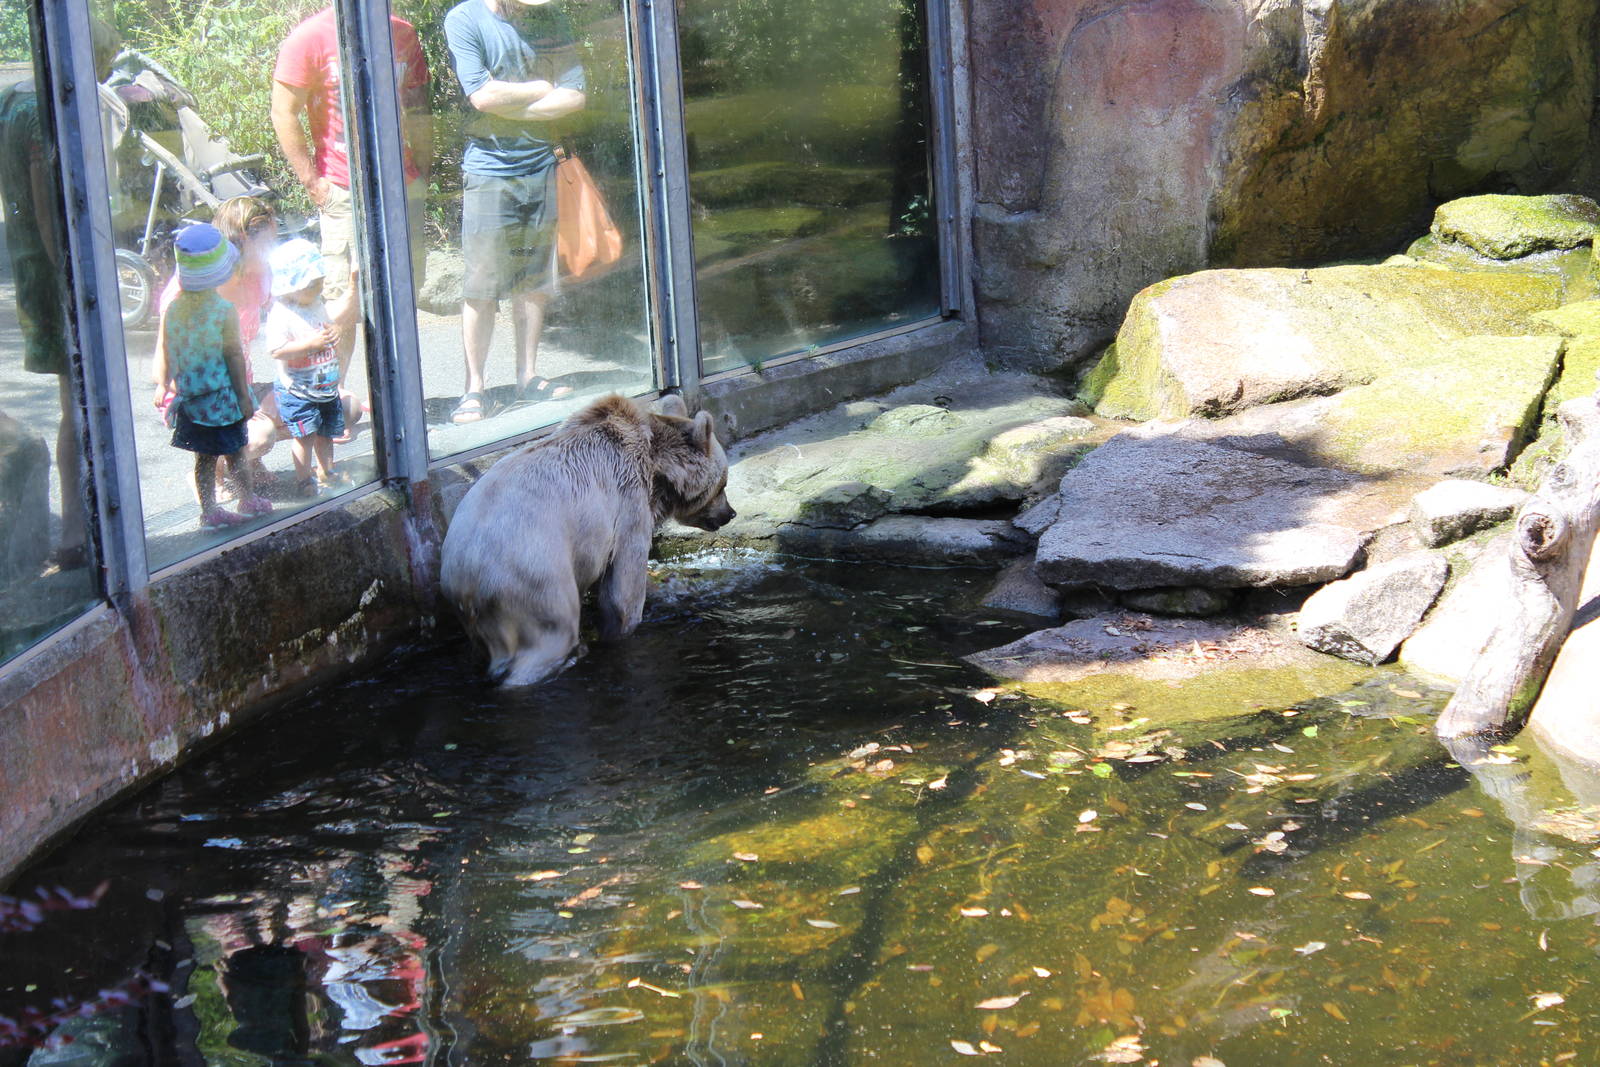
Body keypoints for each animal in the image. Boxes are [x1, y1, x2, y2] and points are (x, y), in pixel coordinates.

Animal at [440, 393, 735, 686]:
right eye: (723, 483)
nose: (730, 513)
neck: (656, 469)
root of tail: (465, 576)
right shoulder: (629, 502)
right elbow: (624, 585)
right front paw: (621, 628)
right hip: (532, 578)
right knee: (551, 634)